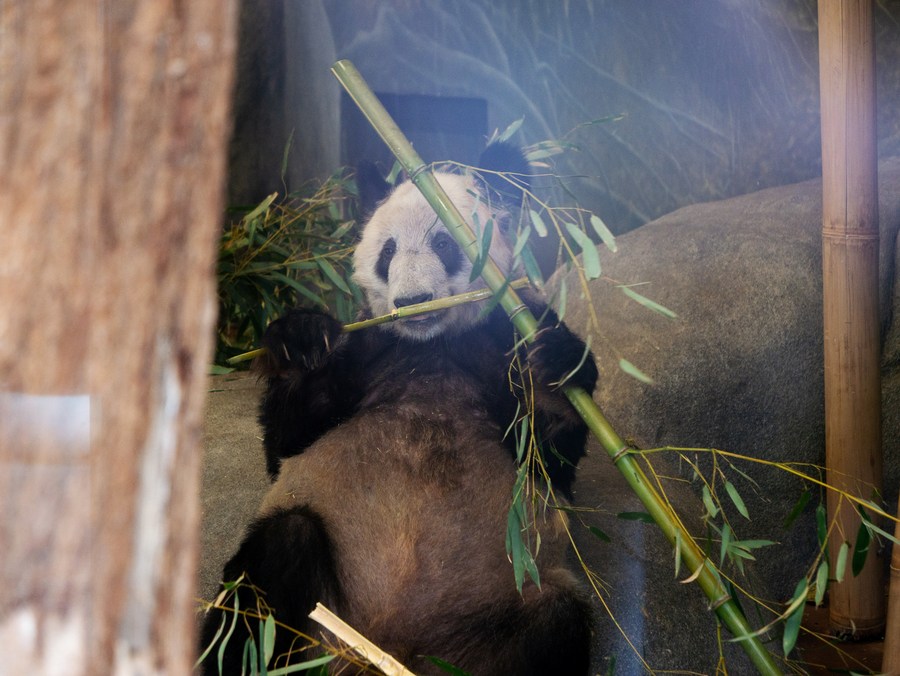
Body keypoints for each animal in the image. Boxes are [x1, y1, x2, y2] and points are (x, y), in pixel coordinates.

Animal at [201, 143, 598, 675]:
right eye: (387, 252)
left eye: (446, 245)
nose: (413, 300)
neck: (430, 344)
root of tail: (383, 648)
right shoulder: (370, 348)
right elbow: (288, 440)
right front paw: (302, 340)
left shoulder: (501, 338)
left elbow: (552, 457)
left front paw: (558, 364)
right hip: (319, 615)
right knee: (271, 568)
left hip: (492, 620)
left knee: (555, 621)